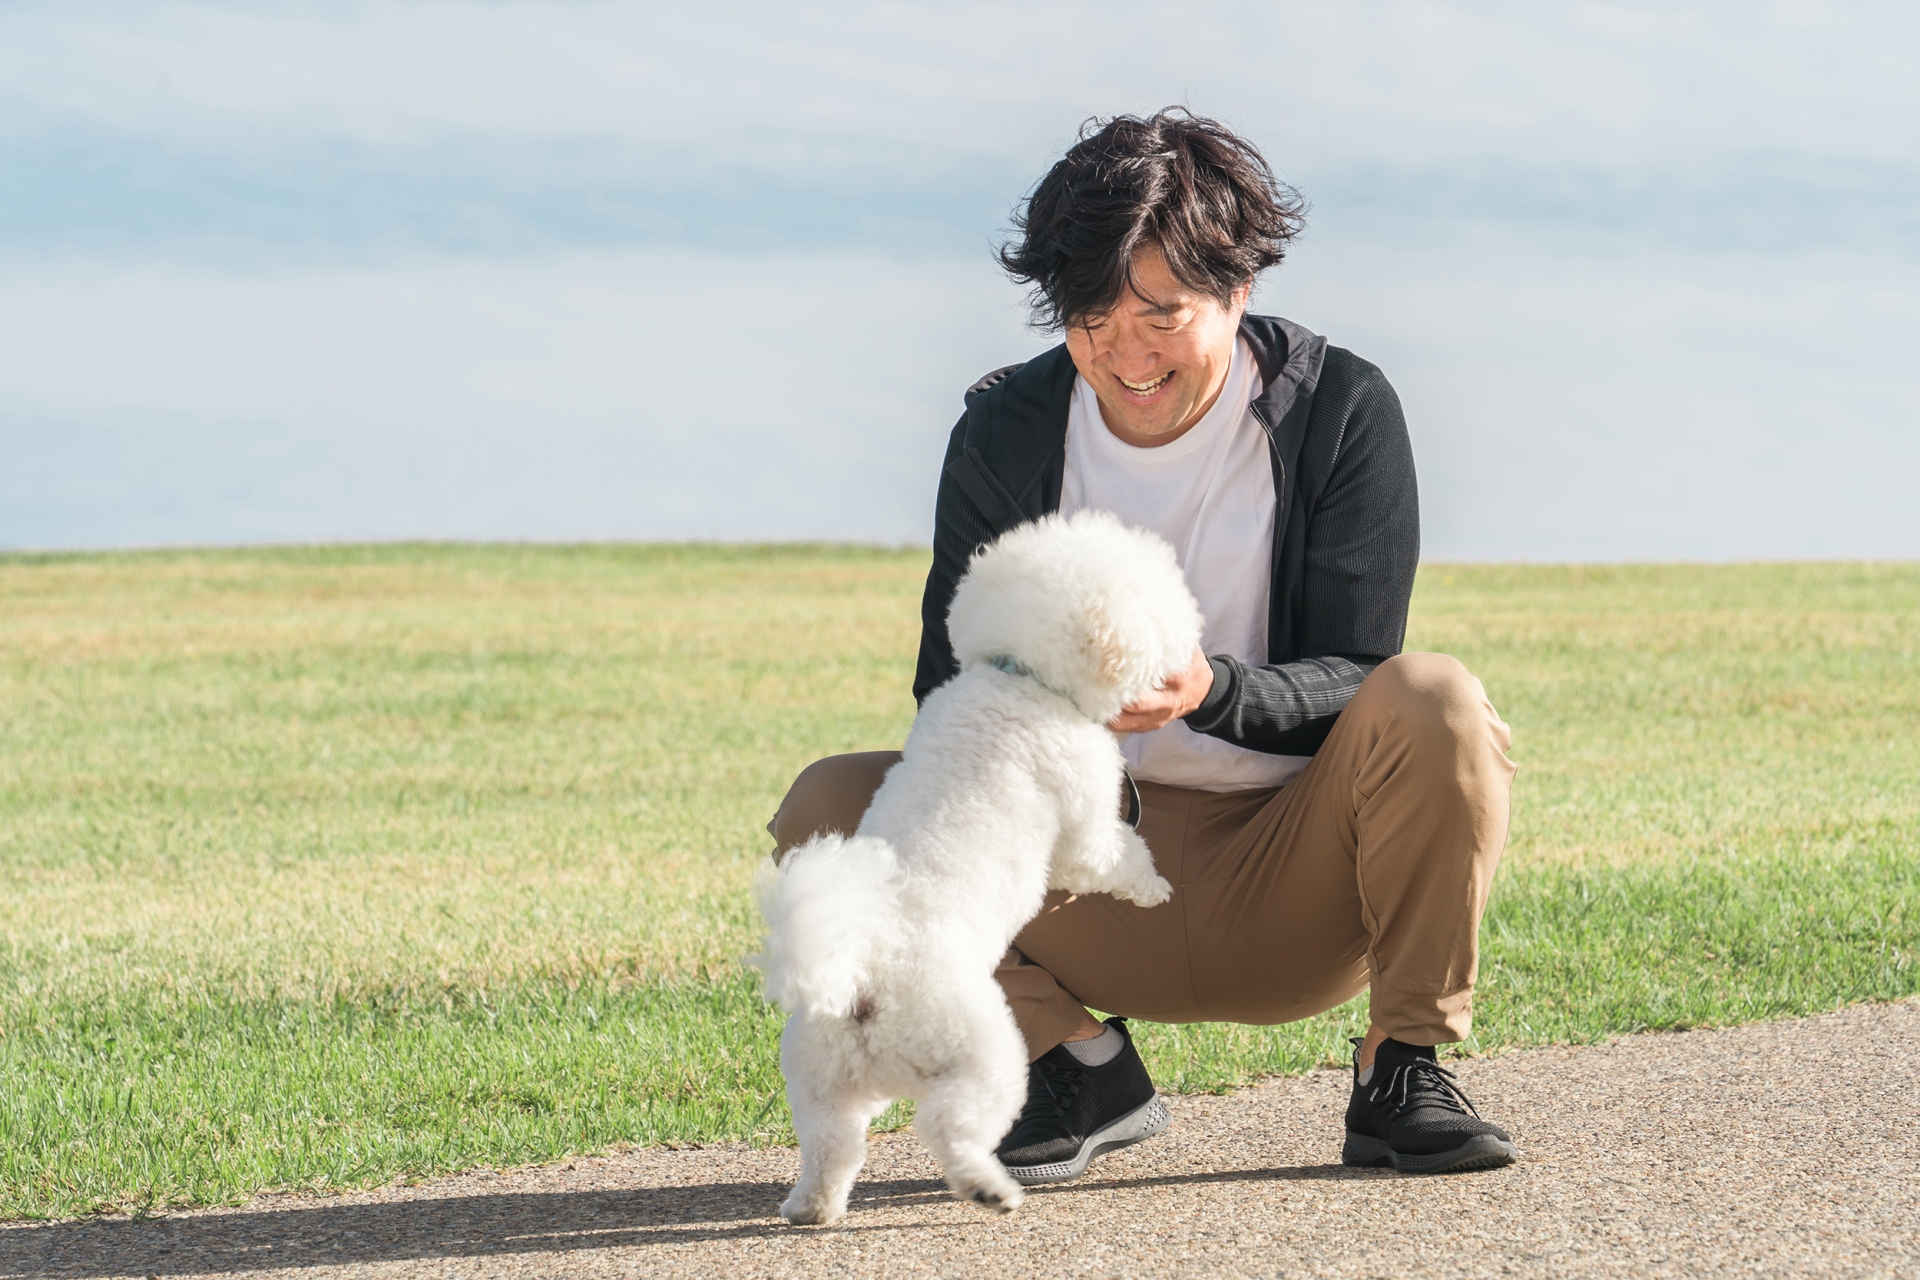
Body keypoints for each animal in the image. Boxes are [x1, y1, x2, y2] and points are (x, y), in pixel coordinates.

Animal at [760, 510, 1198, 1228]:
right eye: (1159, 600)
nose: (1195, 635)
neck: (1019, 675)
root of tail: (861, 982)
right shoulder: (1086, 819)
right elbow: (1113, 857)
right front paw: (1155, 888)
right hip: (981, 1057)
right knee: (951, 1130)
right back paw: (989, 1188)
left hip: (824, 1084)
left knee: (831, 1147)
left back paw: (811, 1206)